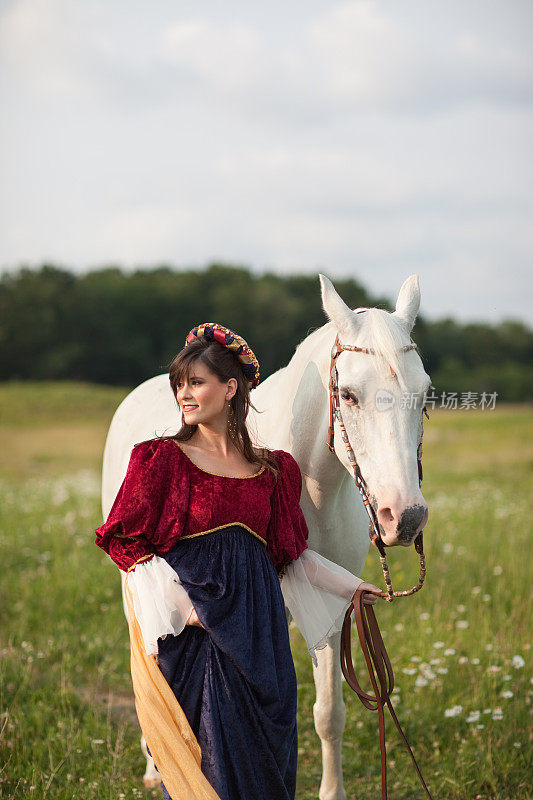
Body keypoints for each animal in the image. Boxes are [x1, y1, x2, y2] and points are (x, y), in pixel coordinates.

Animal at [102, 272, 430, 796]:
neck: (314, 486)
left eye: (424, 394)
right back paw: (157, 767)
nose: (405, 517)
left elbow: (329, 713)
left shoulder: (331, 603)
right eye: (350, 395)